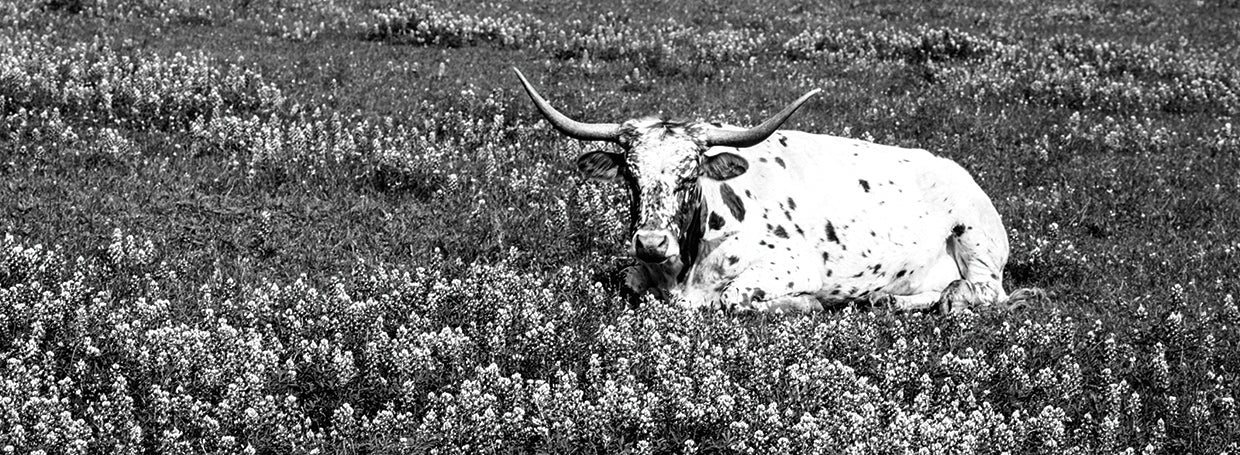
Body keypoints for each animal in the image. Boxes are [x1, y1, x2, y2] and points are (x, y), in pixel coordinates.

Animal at [514, 68, 1043, 313]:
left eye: (690, 173)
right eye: (629, 174)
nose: (650, 241)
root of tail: (963, 173)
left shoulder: (790, 267)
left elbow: (733, 298)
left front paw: (810, 303)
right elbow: (628, 280)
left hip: (976, 241)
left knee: (982, 292)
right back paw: (888, 301)